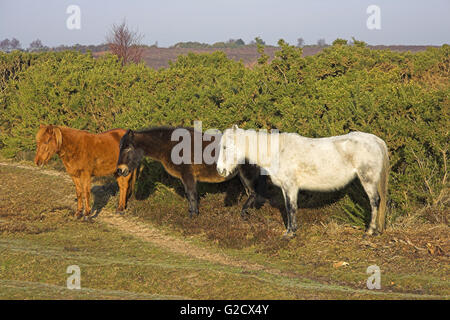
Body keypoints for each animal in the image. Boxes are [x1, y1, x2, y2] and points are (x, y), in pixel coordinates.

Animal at [114, 126, 266, 216]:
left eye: (128, 148)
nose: (120, 170)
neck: (171, 145)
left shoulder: (188, 176)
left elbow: (191, 194)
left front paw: (193, 215)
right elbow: (189, 195)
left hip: (246, 174)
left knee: (253, 193)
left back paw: (244, 213)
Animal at [216, 125, 388, 238]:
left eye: (225, 147)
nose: (220, 170)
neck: (278, 151)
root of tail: (376, 141)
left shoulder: (290, 186)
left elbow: (291, 208)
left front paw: (290, 233)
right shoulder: (286, 188)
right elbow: (290, 207)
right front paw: (292, 230)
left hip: (368, 179)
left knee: (374, 201)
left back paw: (369, 231)